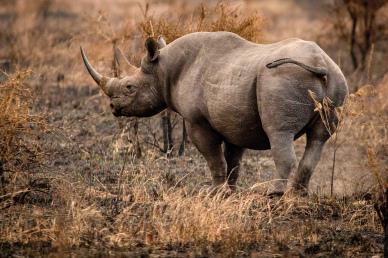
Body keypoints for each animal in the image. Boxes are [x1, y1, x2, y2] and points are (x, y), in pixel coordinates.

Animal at [81, 31, 348, 194]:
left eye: (129, 87)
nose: (113, 108)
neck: (163, 70)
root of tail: (320, 63)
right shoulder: (235, 120)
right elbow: (233, 161)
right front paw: (230, 191)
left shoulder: (197, 121)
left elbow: (213, 158)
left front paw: (214, 192)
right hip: (336, 77)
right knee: (319, 138)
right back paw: (297, 196)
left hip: (281, 78)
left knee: (279, 133)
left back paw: (273, 195)